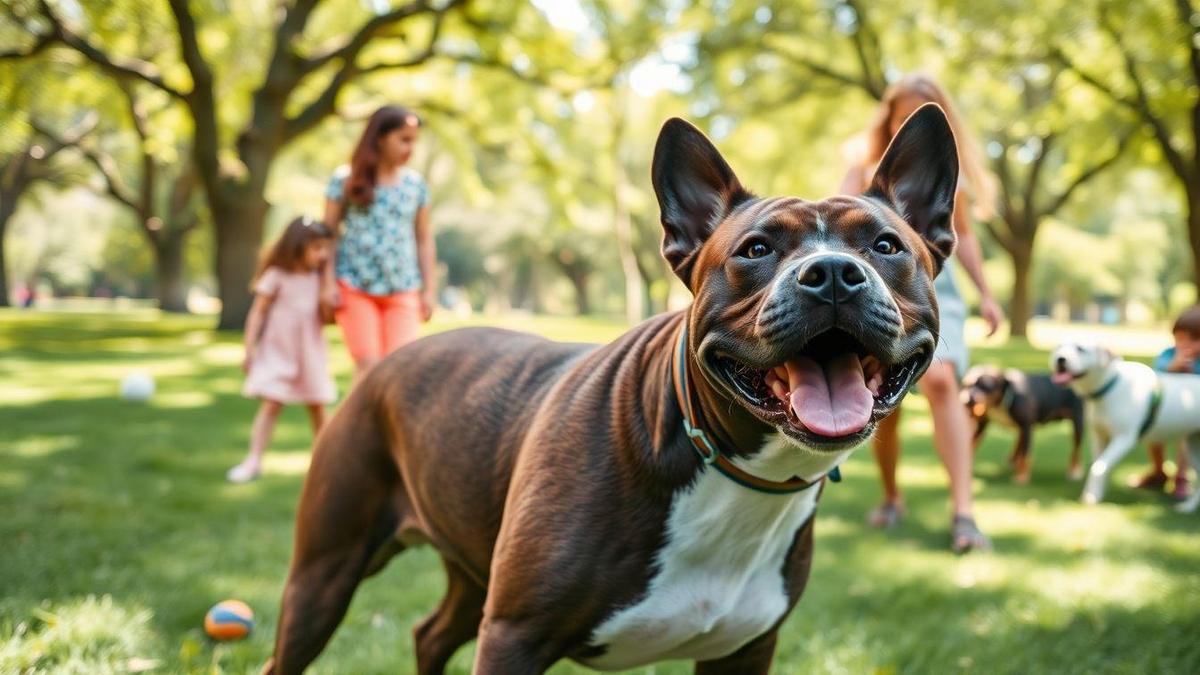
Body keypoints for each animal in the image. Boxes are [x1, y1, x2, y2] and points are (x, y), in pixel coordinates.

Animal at [1051, 341, 1200, 509]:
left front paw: (1091, 497)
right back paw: (1188, 507)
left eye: (1080, 349)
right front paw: (1096, 492)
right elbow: (1100, 464)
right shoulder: (1099, 436)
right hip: (1193, 447)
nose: (1060, 359)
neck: (1110, 387)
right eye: (1058, 347)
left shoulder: (1124, 438)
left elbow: (1098, 467)